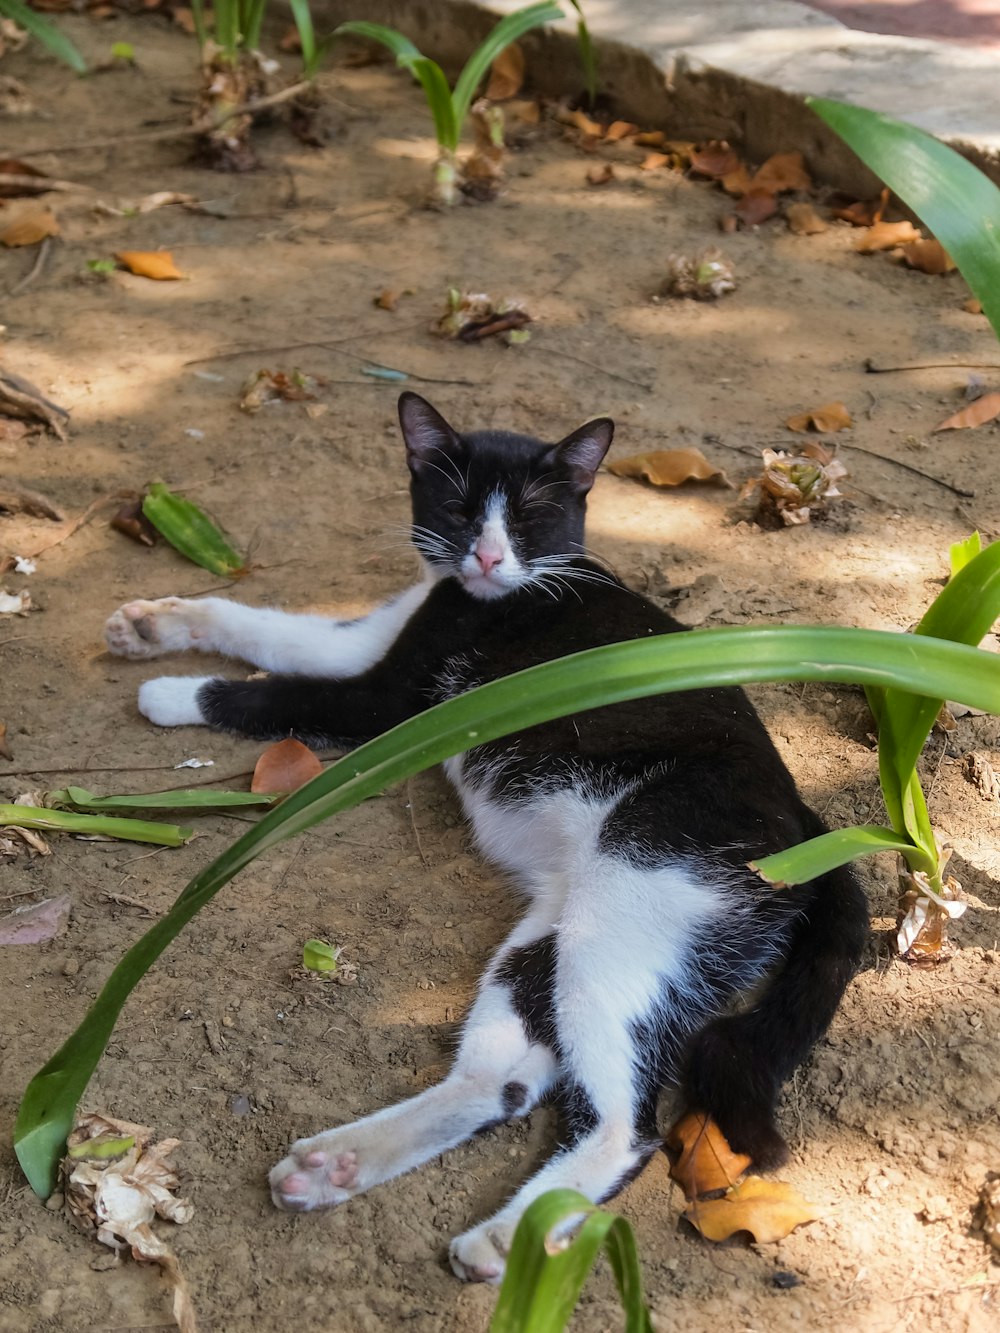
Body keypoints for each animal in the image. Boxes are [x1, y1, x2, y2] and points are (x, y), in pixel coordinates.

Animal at [104, 391, 869, 1279]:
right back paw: (342, 1163)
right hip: (557, 931)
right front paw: (154, 625)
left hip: (630, 897)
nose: (488, 556)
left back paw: (512, 1235)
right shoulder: (378, 633)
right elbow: (270, 628)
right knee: (504, 1081)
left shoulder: (391, 705)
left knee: (628, 1124)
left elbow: (279, 690)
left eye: (533, 516)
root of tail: (808, 821)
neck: (485, 592)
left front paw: (170, 691)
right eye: (460, 506)